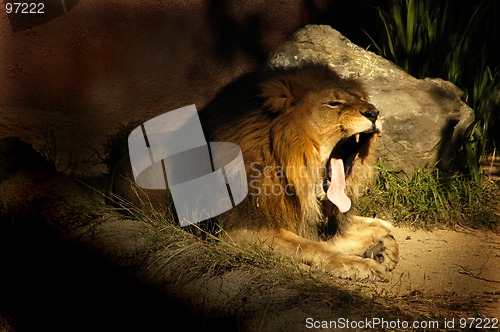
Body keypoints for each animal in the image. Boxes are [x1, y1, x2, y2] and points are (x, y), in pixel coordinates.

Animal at [107, 63, 400, 280]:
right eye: (334, 104)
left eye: (360, 99)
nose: (374, 113)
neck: (291, 172)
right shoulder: (239, 231)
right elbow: (309, 246)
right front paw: (361, 263)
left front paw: (383, 245)